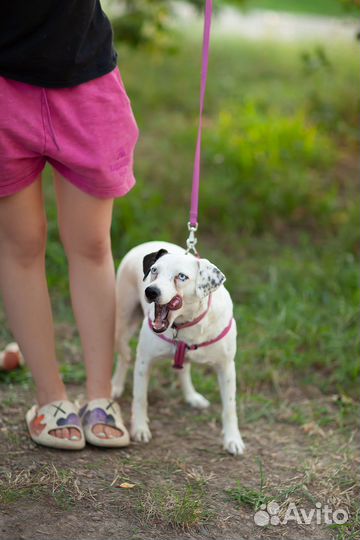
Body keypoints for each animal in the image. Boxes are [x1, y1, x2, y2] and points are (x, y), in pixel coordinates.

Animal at [111, 242, 243, 456]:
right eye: (154, 271)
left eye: (181, 276)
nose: (151, 291)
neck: (185, 324)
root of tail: (146, 243)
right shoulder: (144, 362)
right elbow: (140, 398)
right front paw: (140, 428)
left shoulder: (226, 367)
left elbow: (229, 407)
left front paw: (233, 440)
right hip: (122, 322)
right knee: (124, 357)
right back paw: (115, 386)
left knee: (183, 369)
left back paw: (192, 396)